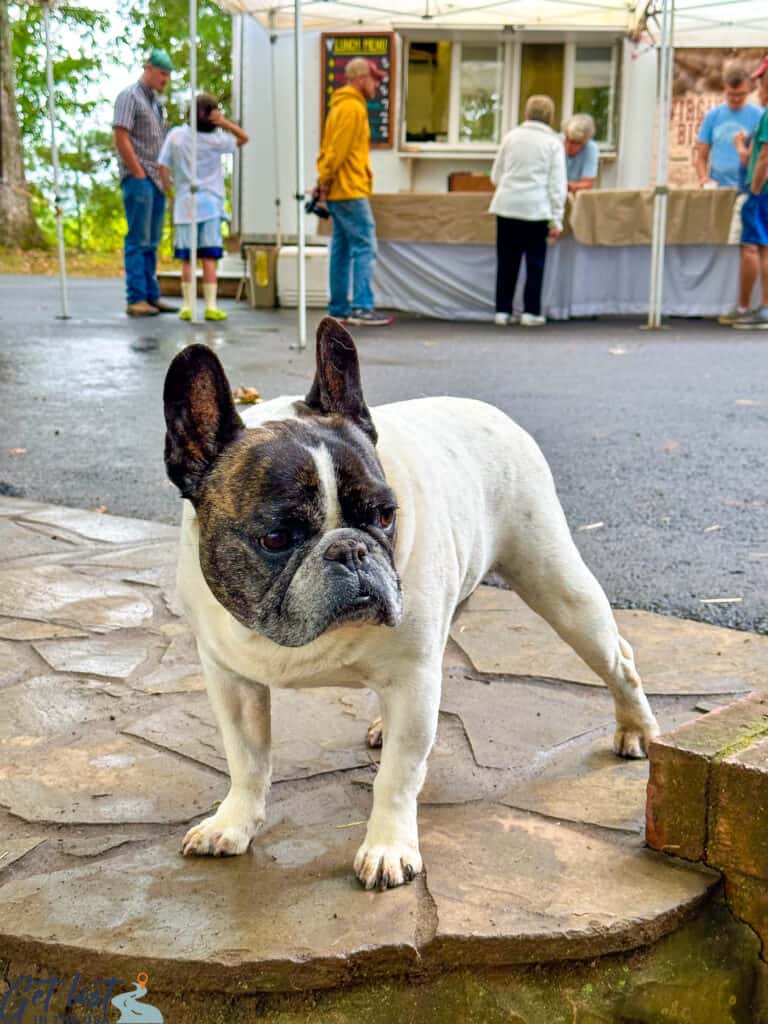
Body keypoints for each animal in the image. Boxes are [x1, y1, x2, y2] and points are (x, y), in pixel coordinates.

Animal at [163, 317, 663, 888]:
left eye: (385, 516)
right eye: (275, 538)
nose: (350, 549)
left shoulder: (411, 680)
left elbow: (398, 777)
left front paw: (387, 848)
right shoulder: (231, 682)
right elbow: (246, 760)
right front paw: (233, 823)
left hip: (558, 587)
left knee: (618, 659)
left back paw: (637, 729)